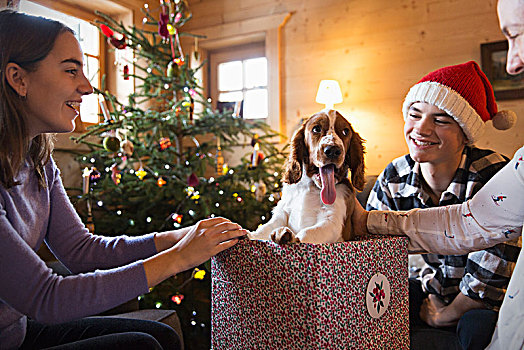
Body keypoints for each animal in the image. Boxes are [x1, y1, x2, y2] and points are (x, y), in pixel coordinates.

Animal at [249, 109, 364, 243]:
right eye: (316, 129)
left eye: (345, 131)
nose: (333, 150)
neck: (312, 187)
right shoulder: (283, 210)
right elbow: (265, 227)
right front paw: (249, 234)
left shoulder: (334, 222)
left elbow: (306, 233)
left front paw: (291, 237)